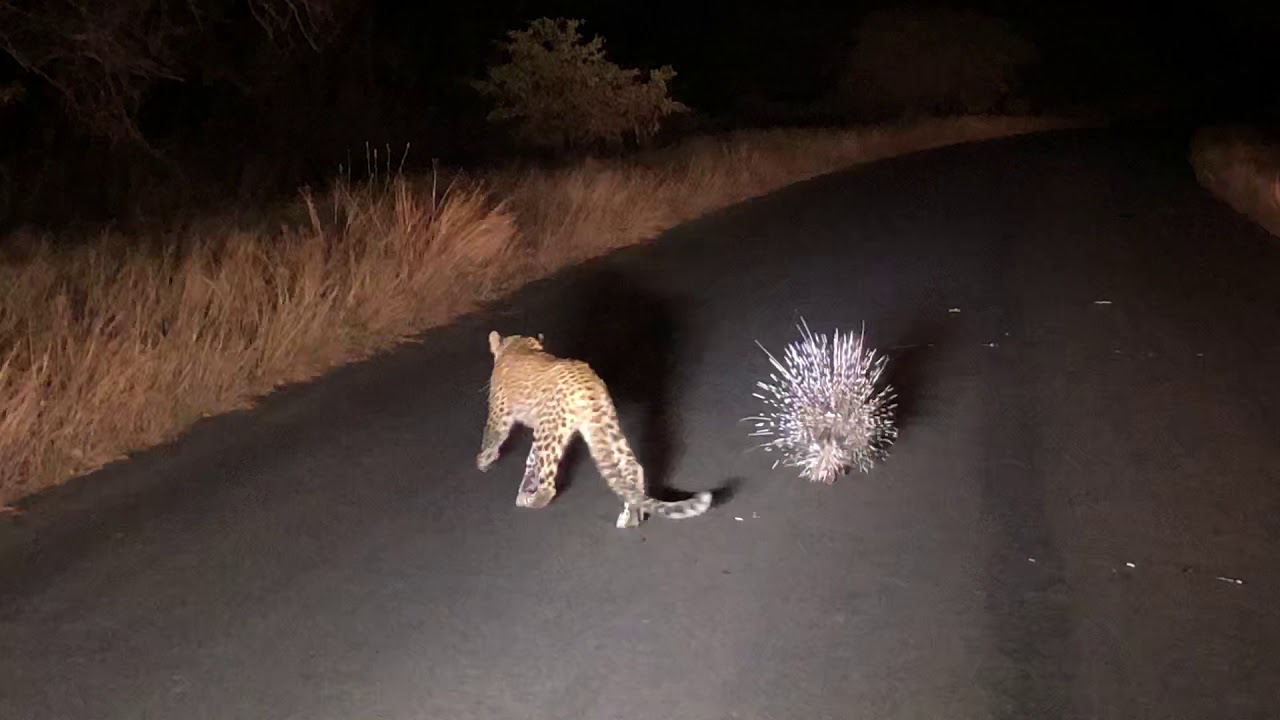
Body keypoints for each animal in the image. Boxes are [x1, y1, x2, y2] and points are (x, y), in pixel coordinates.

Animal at [476, 330, 713, 529]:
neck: (518, 347)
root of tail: (588, 384)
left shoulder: (501, 413)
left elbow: (493, 437)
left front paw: (483, 461)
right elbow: (531, 461)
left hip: (553, 431)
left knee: (549, 485)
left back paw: (534, 501)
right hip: (602, 427)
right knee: (632, 467)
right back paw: (631, 517)